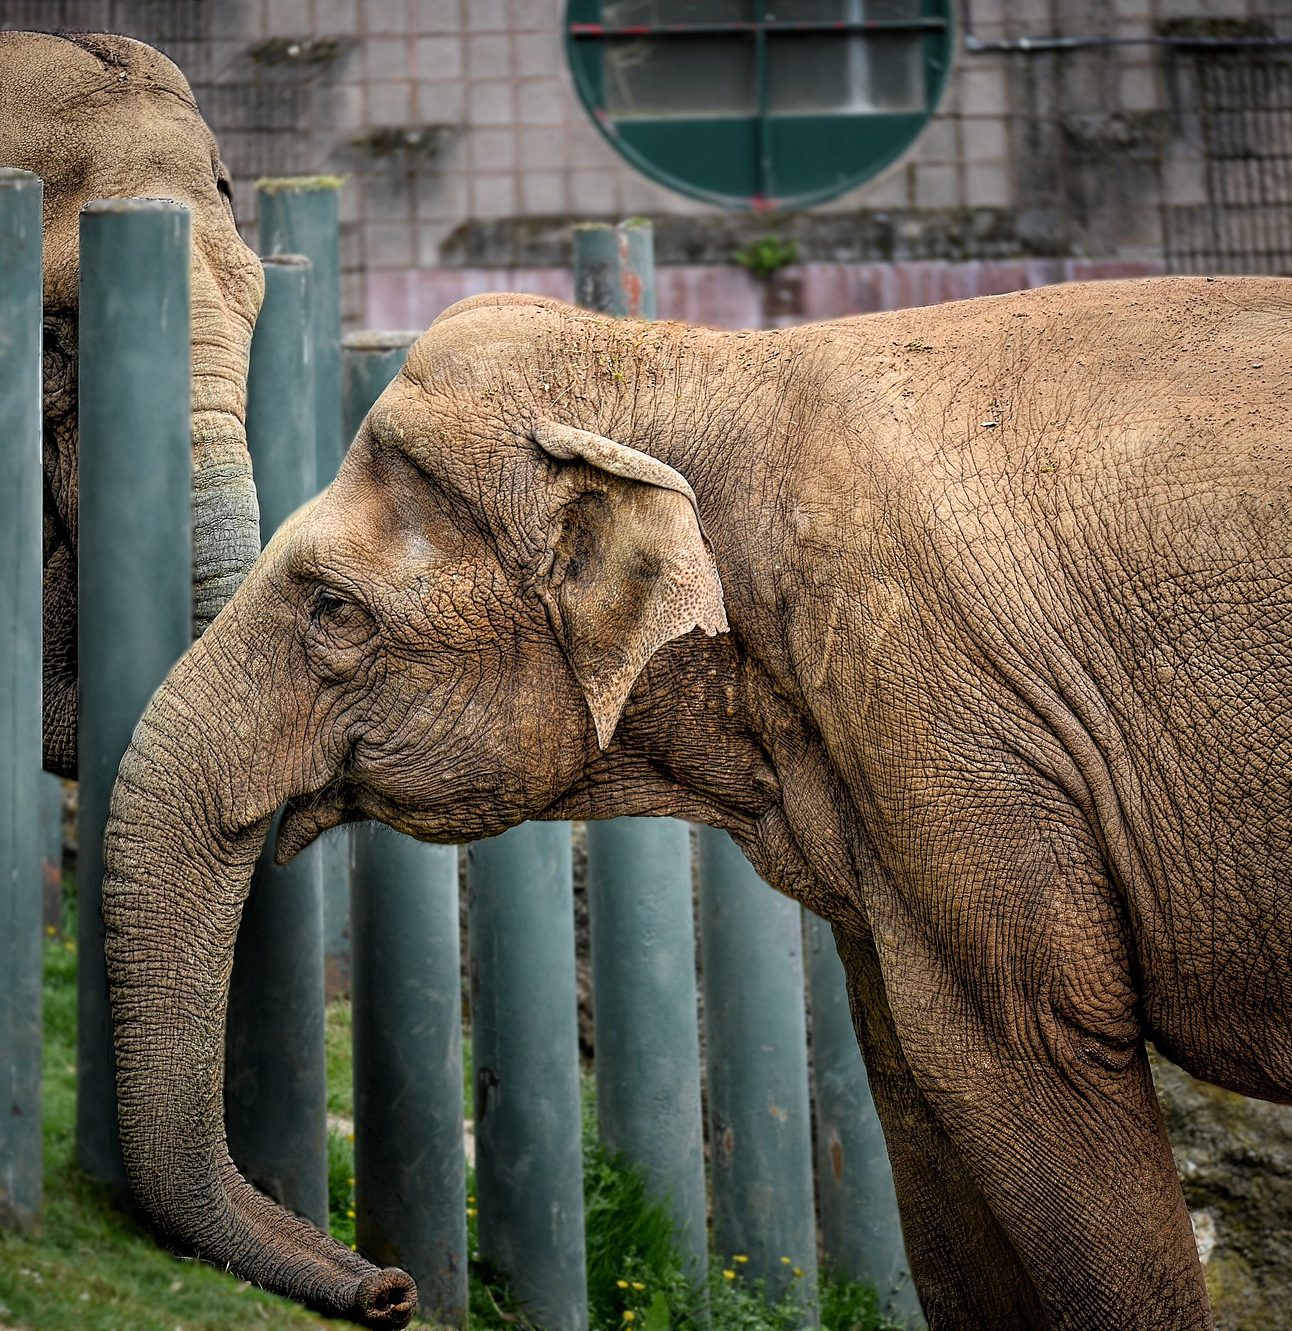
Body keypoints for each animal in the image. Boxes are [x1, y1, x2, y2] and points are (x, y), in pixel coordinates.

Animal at [101, 280, 1292, 1331]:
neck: (687, 363)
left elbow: (1033, 1039)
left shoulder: (945, 701)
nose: (390, 1290)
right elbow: (918, 1070)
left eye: (332, 611)